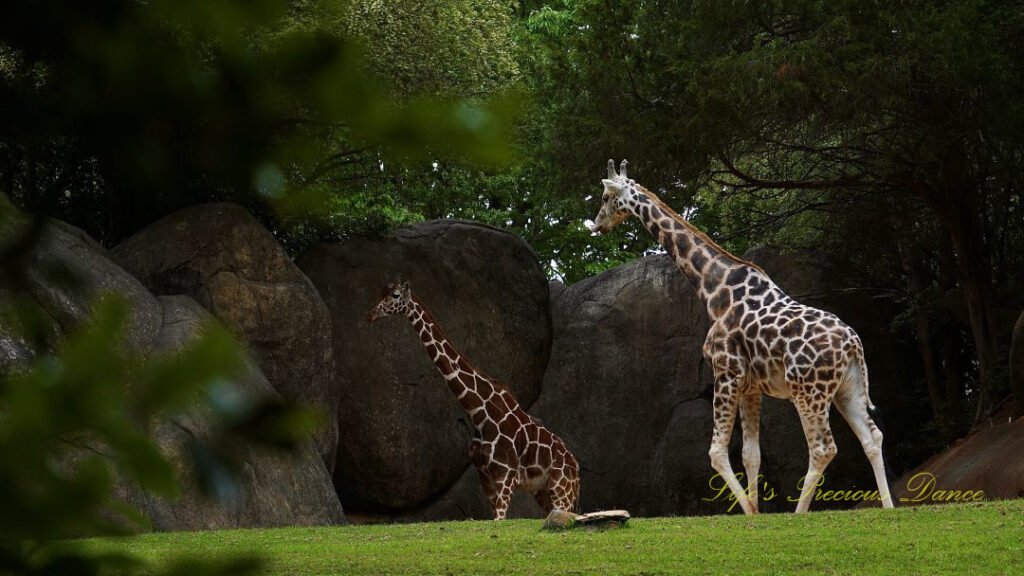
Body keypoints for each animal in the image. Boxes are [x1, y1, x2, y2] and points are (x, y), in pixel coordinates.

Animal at [368, 276, 581, 518]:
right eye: (381, 292)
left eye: (395, 295)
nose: (371, 315)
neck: (478, 411)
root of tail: (577, 471)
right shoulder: (485, 476)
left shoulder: (505, 476)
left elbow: (499, 518)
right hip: (544, 493)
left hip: (561, 491)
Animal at [589, 157, 892, 510]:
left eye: (606, 197)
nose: (597, 225)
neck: (714, 290)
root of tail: (853, 344)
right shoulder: (751, 387)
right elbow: (751, 455)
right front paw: (757, 509)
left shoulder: (726, 373)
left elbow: (717, 452)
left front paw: (749, 511)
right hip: (848, 387)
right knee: (872, 437)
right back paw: (889, 508)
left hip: (808, 390)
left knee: (822, 447)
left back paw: (799, 513)